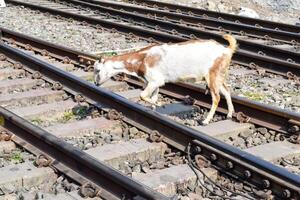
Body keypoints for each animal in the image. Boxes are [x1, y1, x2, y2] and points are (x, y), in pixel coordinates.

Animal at [95, 35, 238, 124]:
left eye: (97, 70)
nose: (96, 83)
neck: (141, 59)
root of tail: (227, 50)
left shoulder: (155, 80)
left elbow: (143, 95)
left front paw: (160, 105)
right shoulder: (154, 82)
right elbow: (153, 97)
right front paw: (153, 110)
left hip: (212, 75)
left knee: (216, 97)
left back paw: (205, 121)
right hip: (219, 76)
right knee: (226, 91)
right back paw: (230, 114)